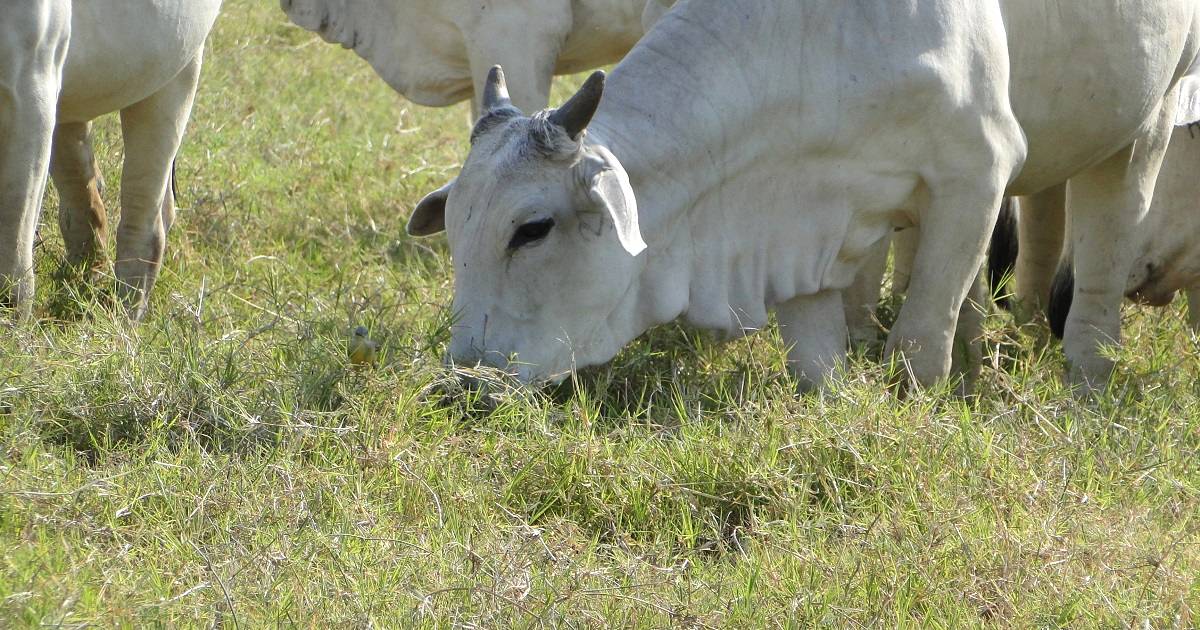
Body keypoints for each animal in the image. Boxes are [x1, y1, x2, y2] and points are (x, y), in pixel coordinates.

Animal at [0, 0, 223, 319]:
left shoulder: (30, 86)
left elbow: (13, 236)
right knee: (87, 205)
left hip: (174, 71)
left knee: (145, 220)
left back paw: (124, 316)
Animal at [408, 0, 1195, 391]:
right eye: (455, 233)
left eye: (531, 229)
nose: (463, 380)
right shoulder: (795, 221)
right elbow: (816, 361)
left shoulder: (977, 174)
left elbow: (918, 341)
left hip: (1149, 118)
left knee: (1106, 240)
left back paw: (1087, 374)